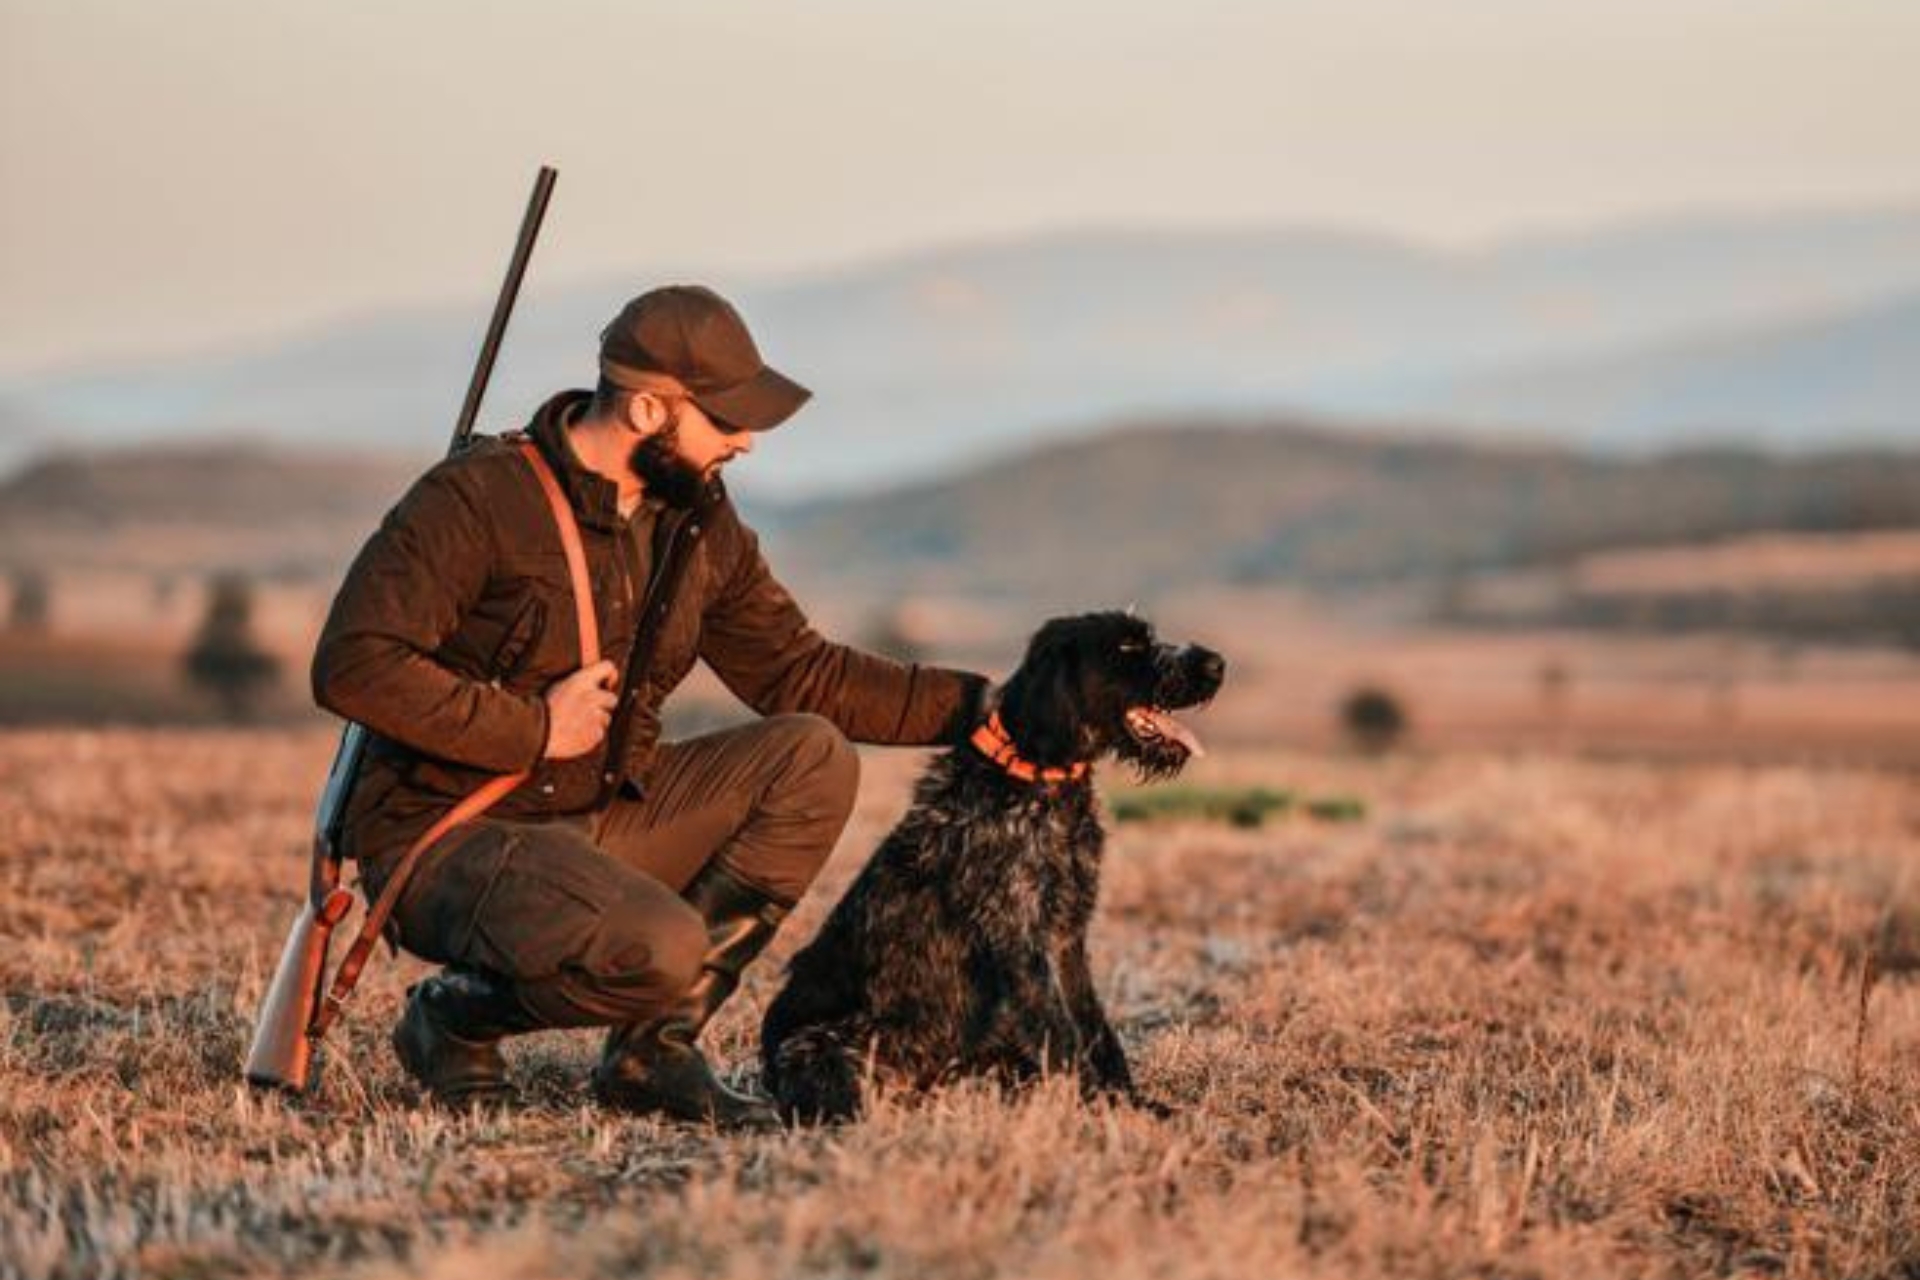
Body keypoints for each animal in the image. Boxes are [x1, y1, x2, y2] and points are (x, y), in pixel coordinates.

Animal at [756, 614, 1221, 1120]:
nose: (1216, 664)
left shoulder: (1067, 939)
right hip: (816, 1046)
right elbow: (1063, 1036)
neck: (1037, 779)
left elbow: (1096, 1031)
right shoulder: (1020, 942)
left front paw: (1130, 1103)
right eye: (1127, 645)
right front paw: (1098, 1108)